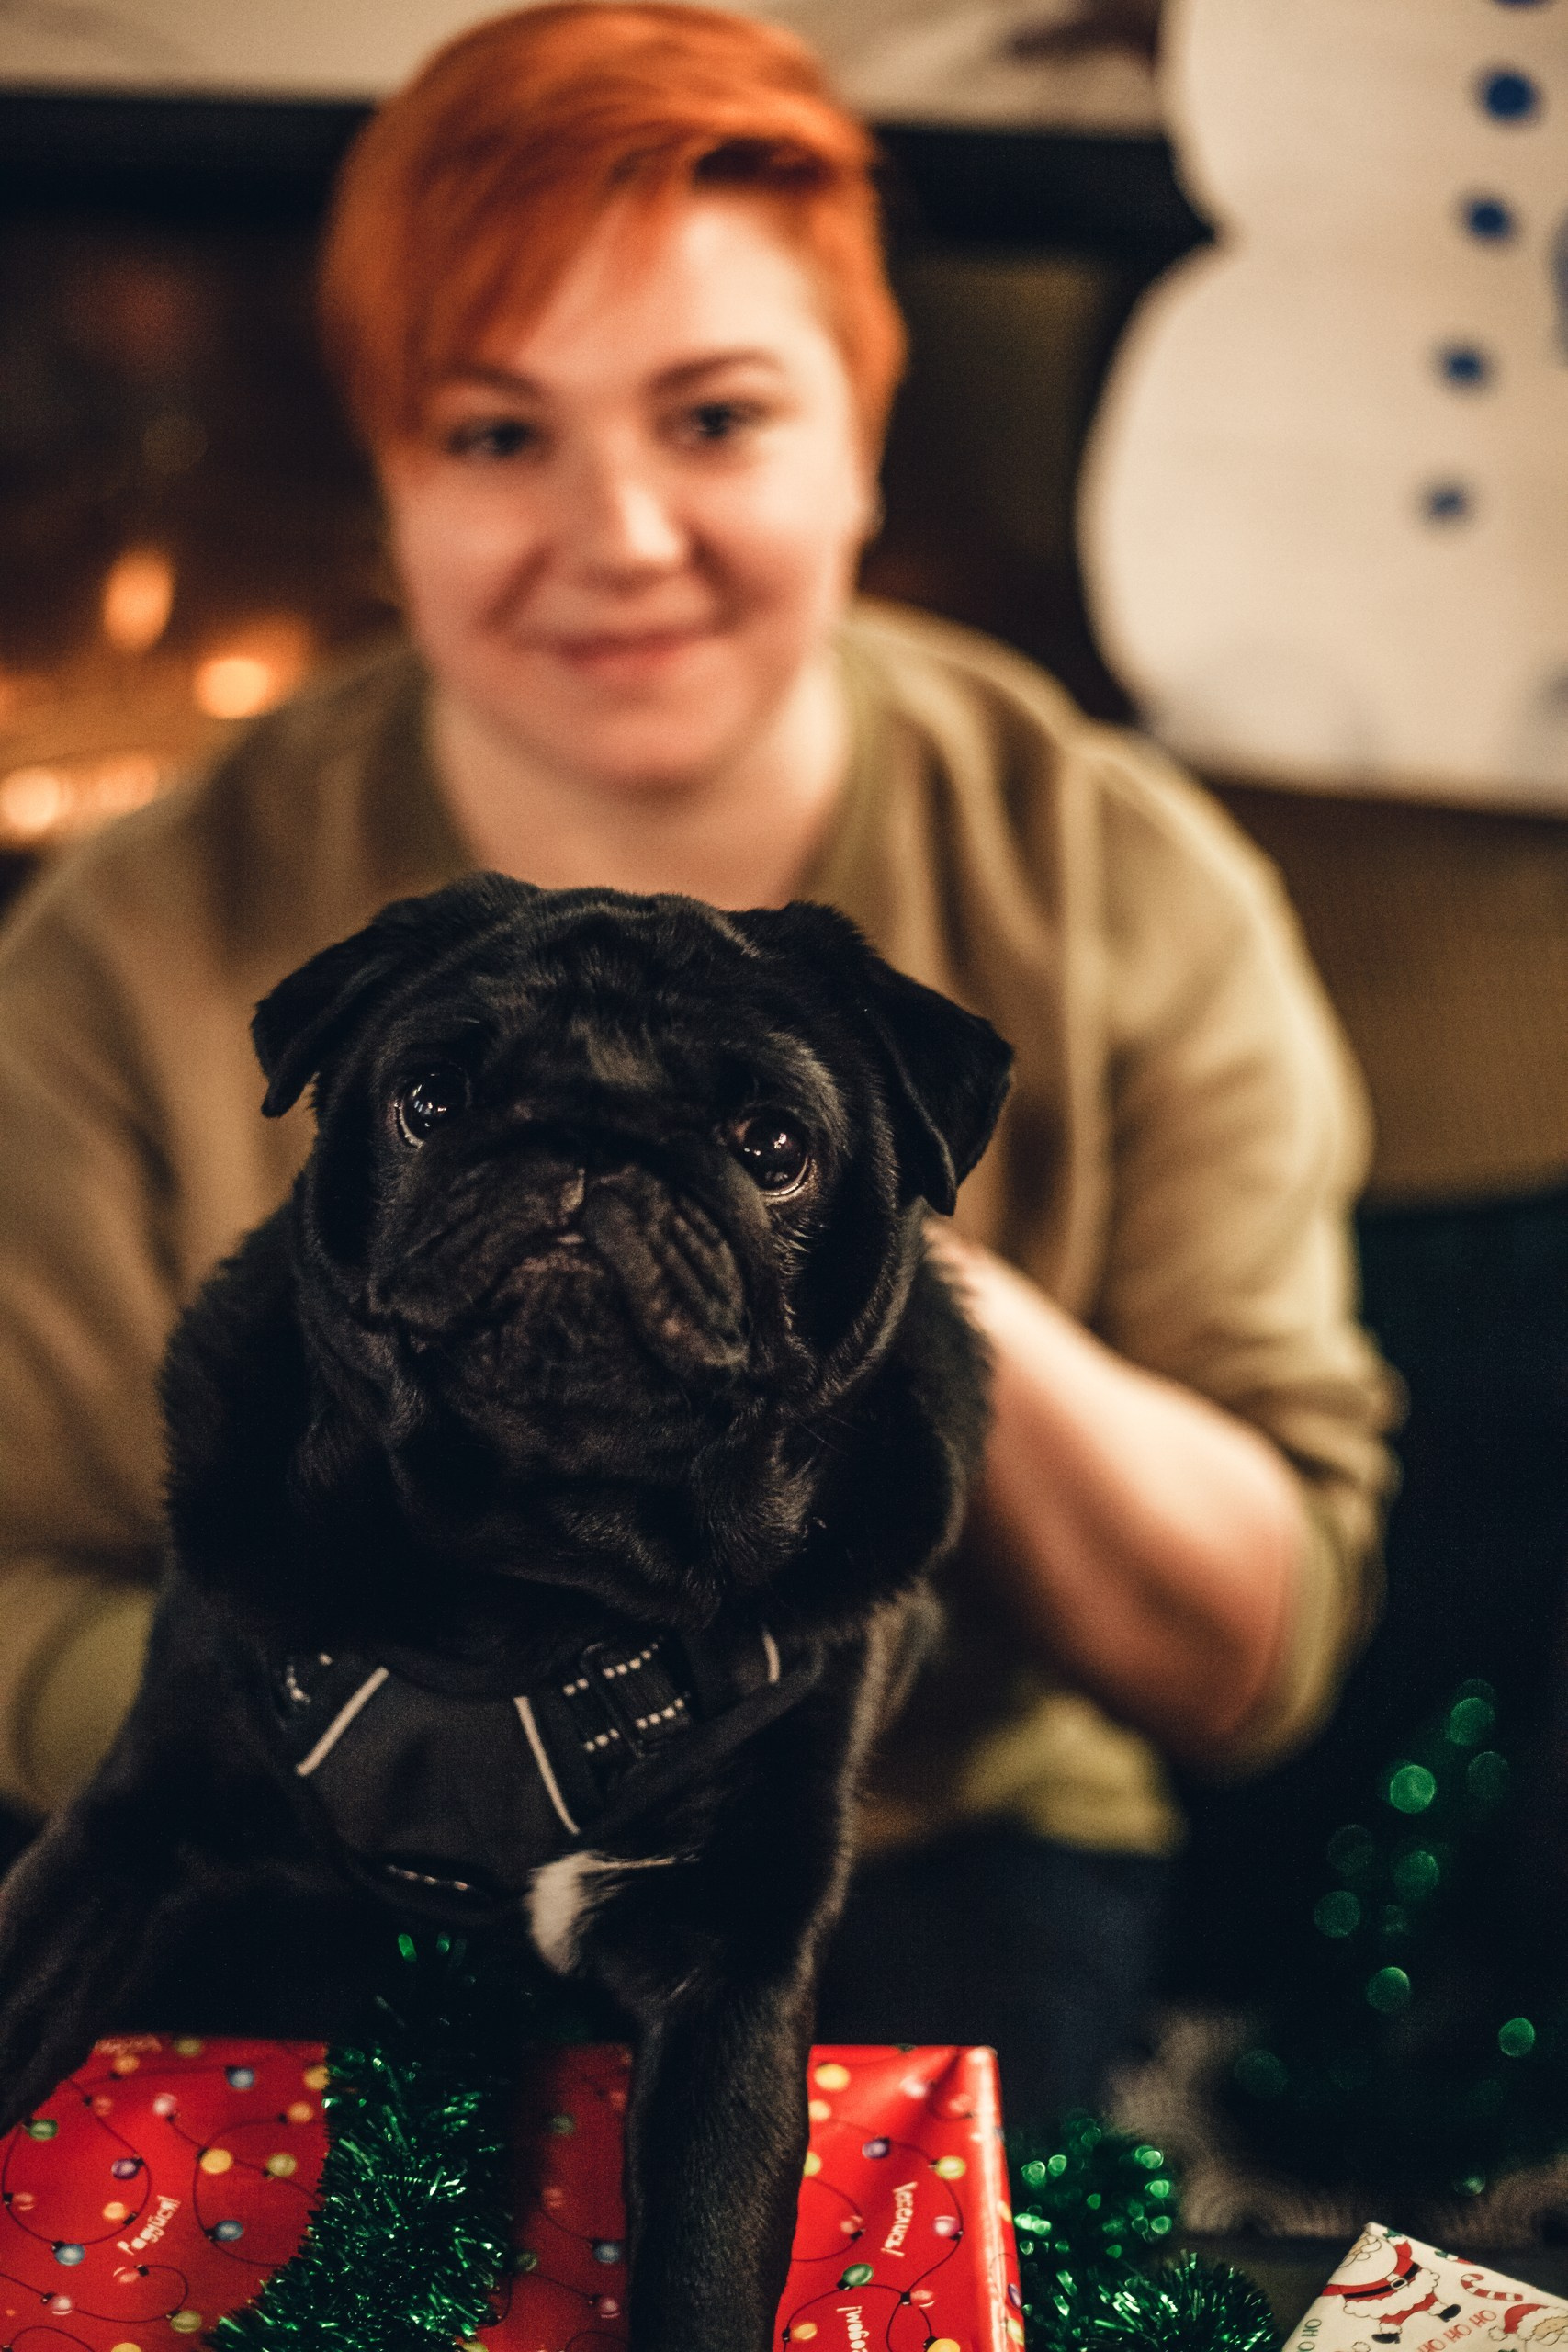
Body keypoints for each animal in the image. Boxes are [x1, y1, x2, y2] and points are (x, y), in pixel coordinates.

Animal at [0, 873, 1011, 2352]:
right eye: (430, 1098)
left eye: (771, 1145)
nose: (586, 1140)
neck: (528, 1579)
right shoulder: (133, 1831)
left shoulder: (733, 1963)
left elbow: (705, 2263)